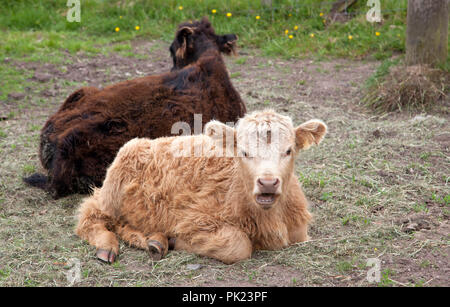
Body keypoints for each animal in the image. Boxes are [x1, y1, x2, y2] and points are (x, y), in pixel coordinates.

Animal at [74, 109, 326, 264]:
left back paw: (155, 241)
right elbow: (238, 245)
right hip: (109, 197)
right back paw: (108, 247)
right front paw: (177, 241)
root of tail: (143, 141)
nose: (267, 183)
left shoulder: (298, 230)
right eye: (244, 152)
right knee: (90, 216)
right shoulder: (194, 218)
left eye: (288, 150)